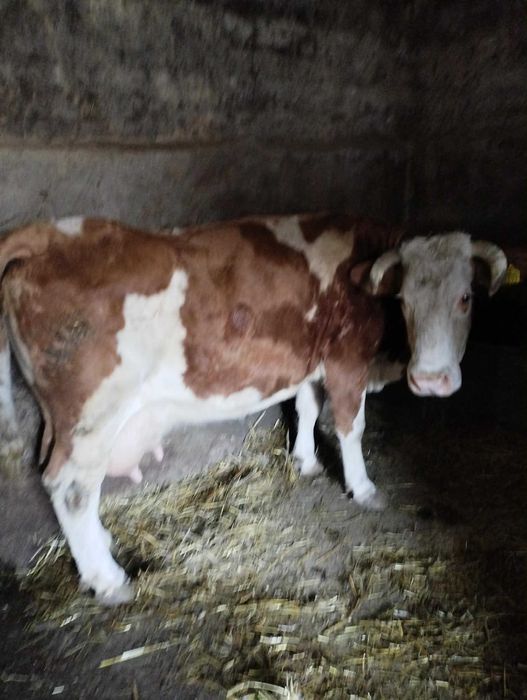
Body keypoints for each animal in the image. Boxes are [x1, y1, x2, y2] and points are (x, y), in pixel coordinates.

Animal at [0, 212, 506, 604]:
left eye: (466, 298)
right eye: (404, 301)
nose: (432, 380)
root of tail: (52, 231)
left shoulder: (309, 359)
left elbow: (306, 406)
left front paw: (305, 461)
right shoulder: (347, 360)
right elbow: (350, 424)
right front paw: (363, 488)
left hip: (63, 420)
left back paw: (101, 544)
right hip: (93, 414)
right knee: (71, 487)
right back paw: (107, 579)